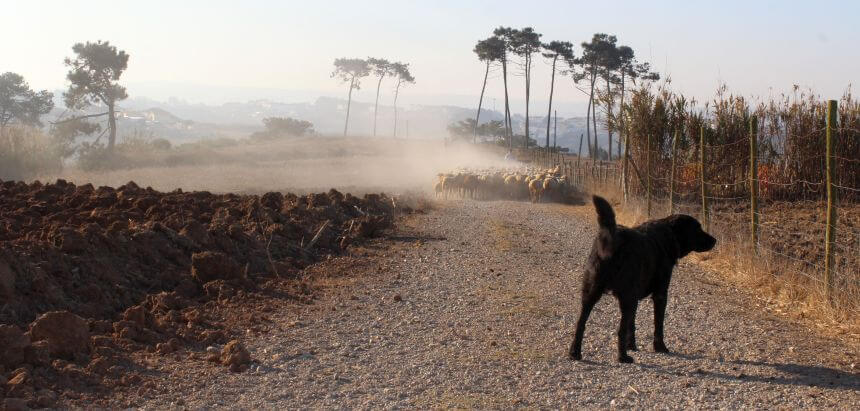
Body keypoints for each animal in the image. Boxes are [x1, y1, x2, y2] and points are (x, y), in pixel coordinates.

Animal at [568, 196, 716, 364]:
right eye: (697, 228)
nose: (715, 240)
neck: (667, 236)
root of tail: (614, 237)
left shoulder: (634, 296)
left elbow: (632, 324)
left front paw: (631, 345)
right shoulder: (659, 294)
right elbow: (658, 325)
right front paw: (660, 347)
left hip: (591, 292)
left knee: (580, 323)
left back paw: (575, 353)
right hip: (625, 295)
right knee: (620, 329)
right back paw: (623, 357)